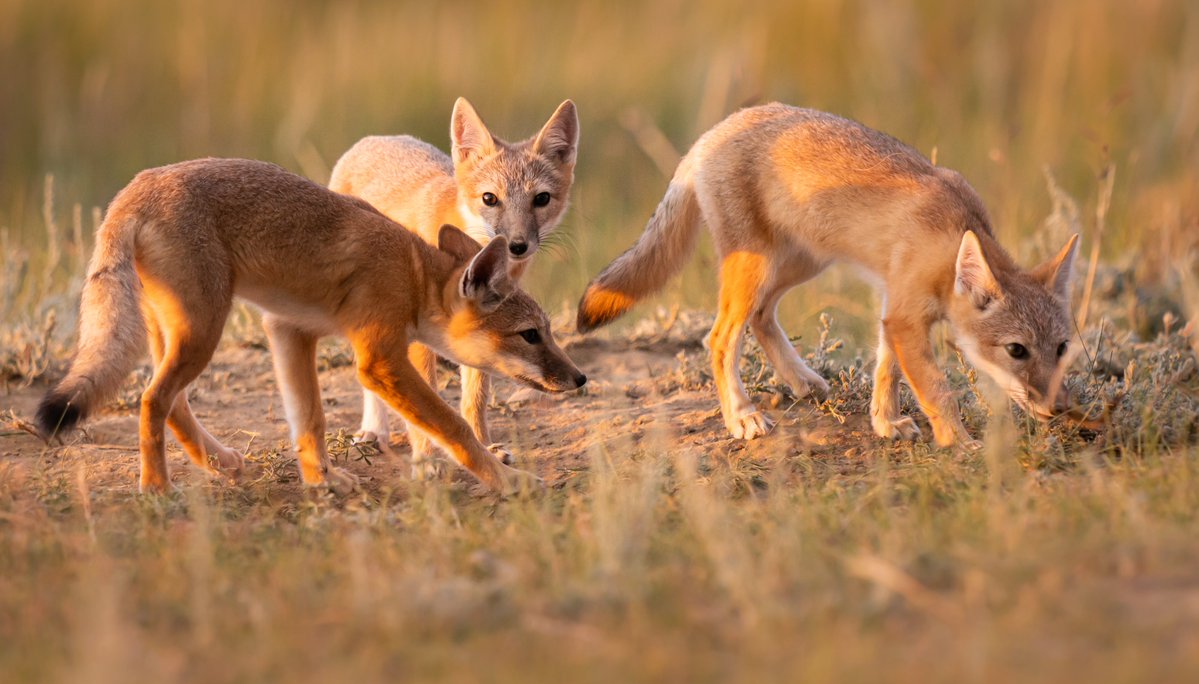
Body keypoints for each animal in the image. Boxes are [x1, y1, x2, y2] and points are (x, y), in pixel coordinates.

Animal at [35, 158, 585, 495]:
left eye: (548, 331)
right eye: (531, 335)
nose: (580, 378)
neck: (411, 273)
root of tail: (135, 186)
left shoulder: (289, 331)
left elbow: (310, 418)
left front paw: (322, 481)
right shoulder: (378, 362)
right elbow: (454, 427)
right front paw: (509, 483)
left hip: (180, 333)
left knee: (173, 402)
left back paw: (218, 463)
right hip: (202, 330)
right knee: (152, 399)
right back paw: (157, 488)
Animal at [329, 97, 579, 475]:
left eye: (542, 199)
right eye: (490, 199)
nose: (517, 245)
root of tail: (376, 138)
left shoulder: (481, 321)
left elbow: (476, 394)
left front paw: (485, 445)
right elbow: (424, 402)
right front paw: (426, 458)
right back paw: (374, 429)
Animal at [577, 103, 1080, 447]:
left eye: (1061, 349)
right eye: (1016, 350)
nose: (1057, 408)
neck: (952, 235)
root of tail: (713, 131)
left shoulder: (892, 309)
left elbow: (887, 371)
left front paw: (885, 422)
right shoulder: (904, 315)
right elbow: (938, 390)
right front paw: (960, 442)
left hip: (799, 263)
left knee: (762, 317)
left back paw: (803, 382)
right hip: (758, 267)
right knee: (720, 338)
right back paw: (741, 415)